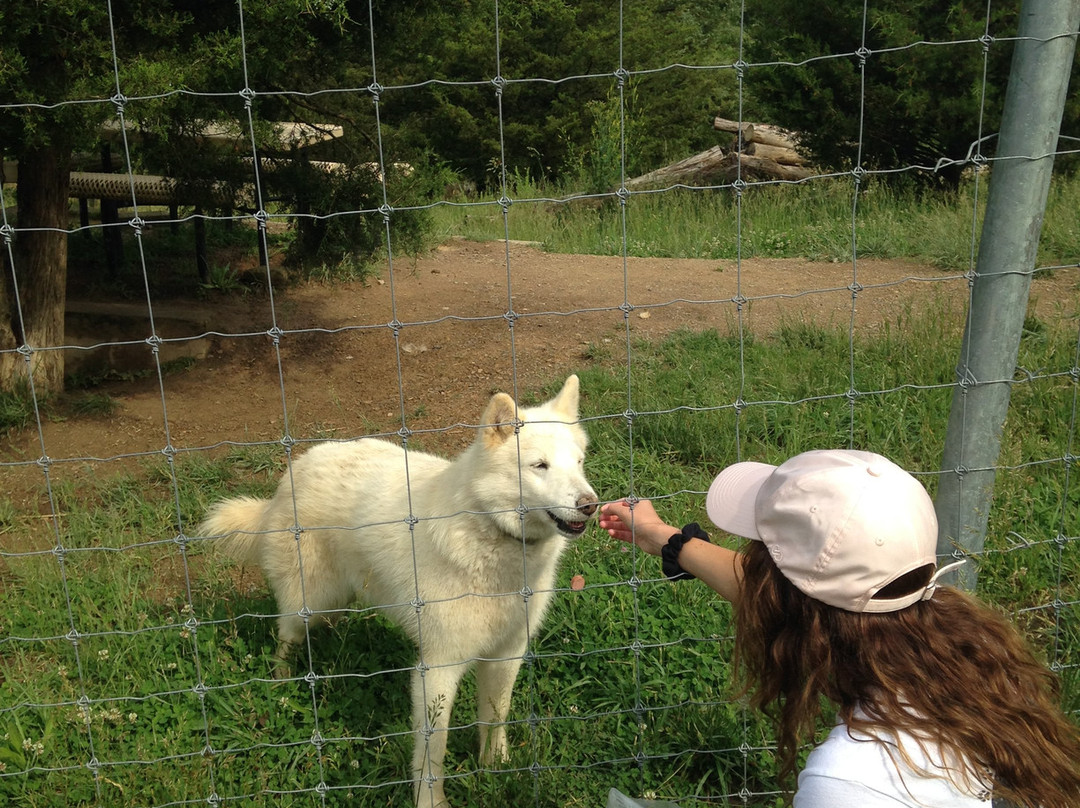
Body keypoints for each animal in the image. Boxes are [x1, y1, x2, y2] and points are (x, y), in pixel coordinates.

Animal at [200, 375, 597, 807]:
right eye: (539, 466)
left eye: (578, 462)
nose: (591, 504)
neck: (491, 534)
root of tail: (296, 469)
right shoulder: (437, 669)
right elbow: (432, 751)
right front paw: (431, 801)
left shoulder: (507, 653)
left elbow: (495, 717)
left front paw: (497, 768)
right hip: (308, 601)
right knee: (285, 639)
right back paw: (283, 685)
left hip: (338, 598)